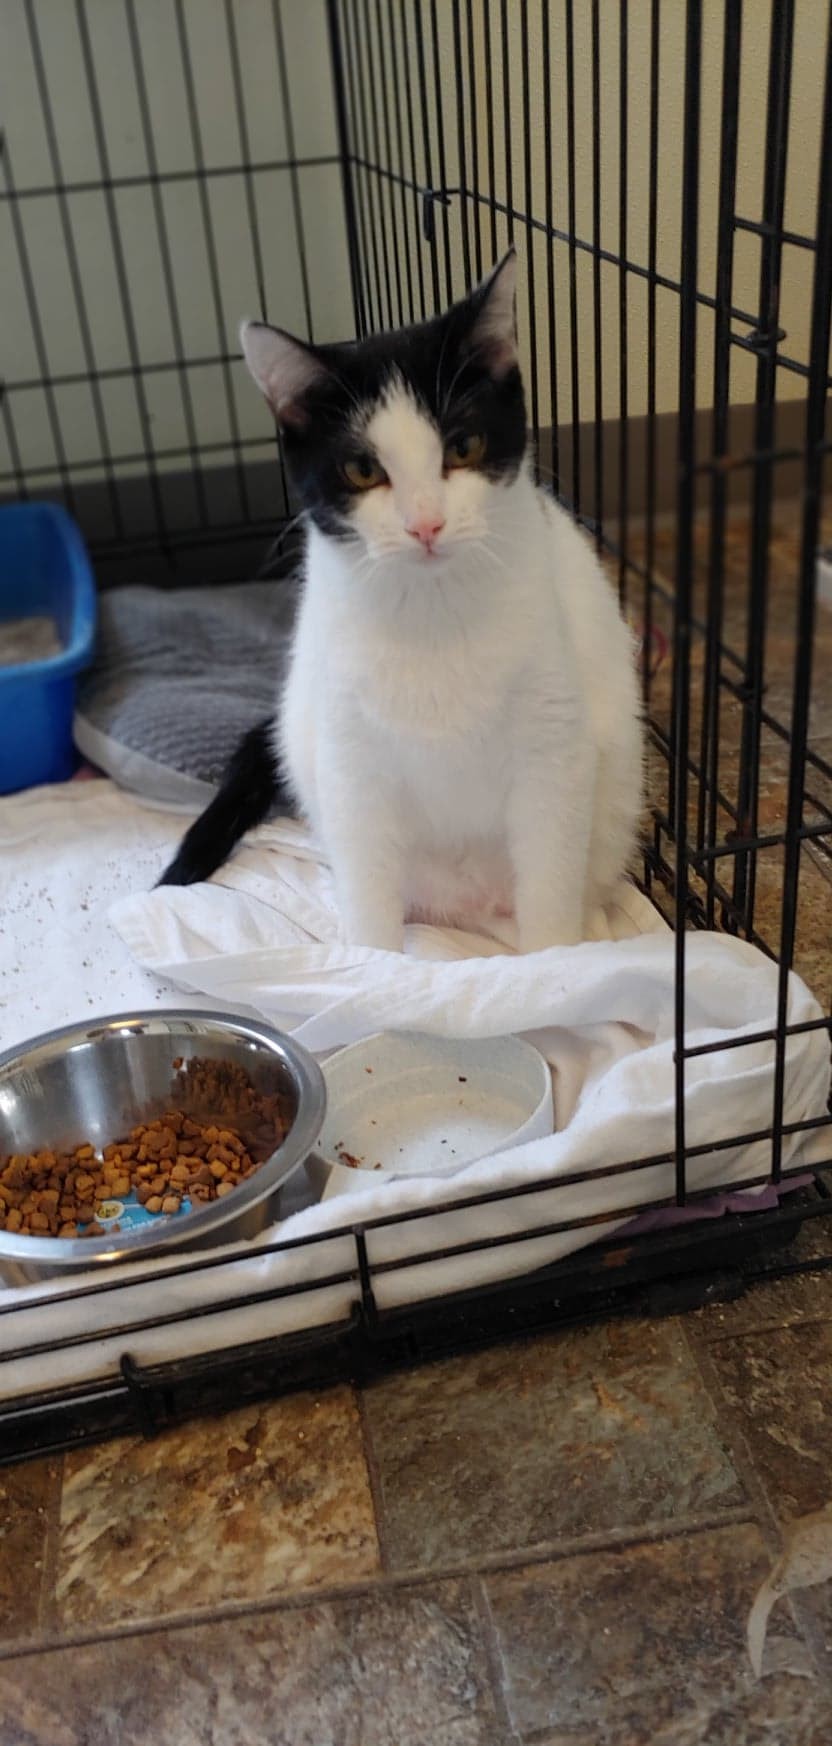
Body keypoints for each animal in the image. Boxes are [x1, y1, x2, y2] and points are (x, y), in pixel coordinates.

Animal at [162, 254, 641, 956]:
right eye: (363, 470)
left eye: (463, 447)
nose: (426, 524)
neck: (432, 611)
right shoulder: (349, 758)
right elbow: (368, 889)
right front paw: (376, 969)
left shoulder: (553, 746)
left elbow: (549, 877)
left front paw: (557, 965)